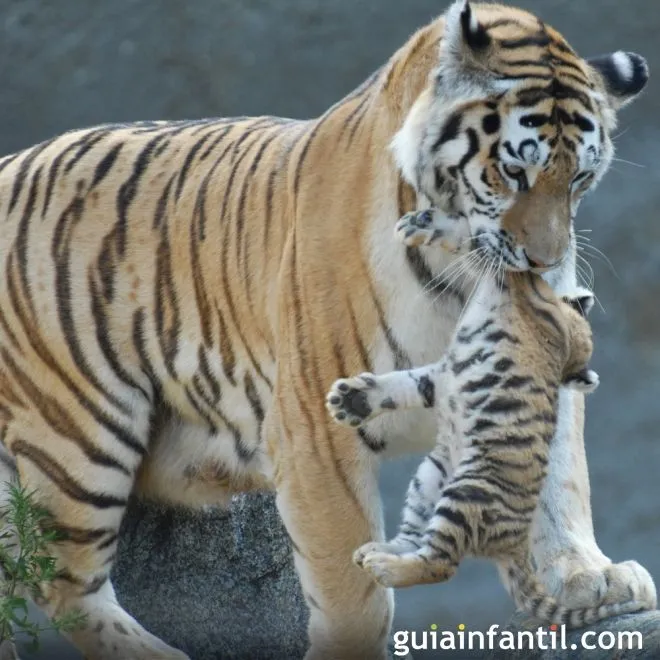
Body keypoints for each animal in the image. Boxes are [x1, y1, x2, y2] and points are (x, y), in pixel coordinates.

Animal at [0, 0, 652, 656]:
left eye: (579, 179)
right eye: (515, 172)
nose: (545, 261)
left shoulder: (541, 366)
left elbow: (559, 474)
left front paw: (587, 577)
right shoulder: (312, 428)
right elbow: (348, 585)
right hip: (80, 431)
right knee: (64, 585)